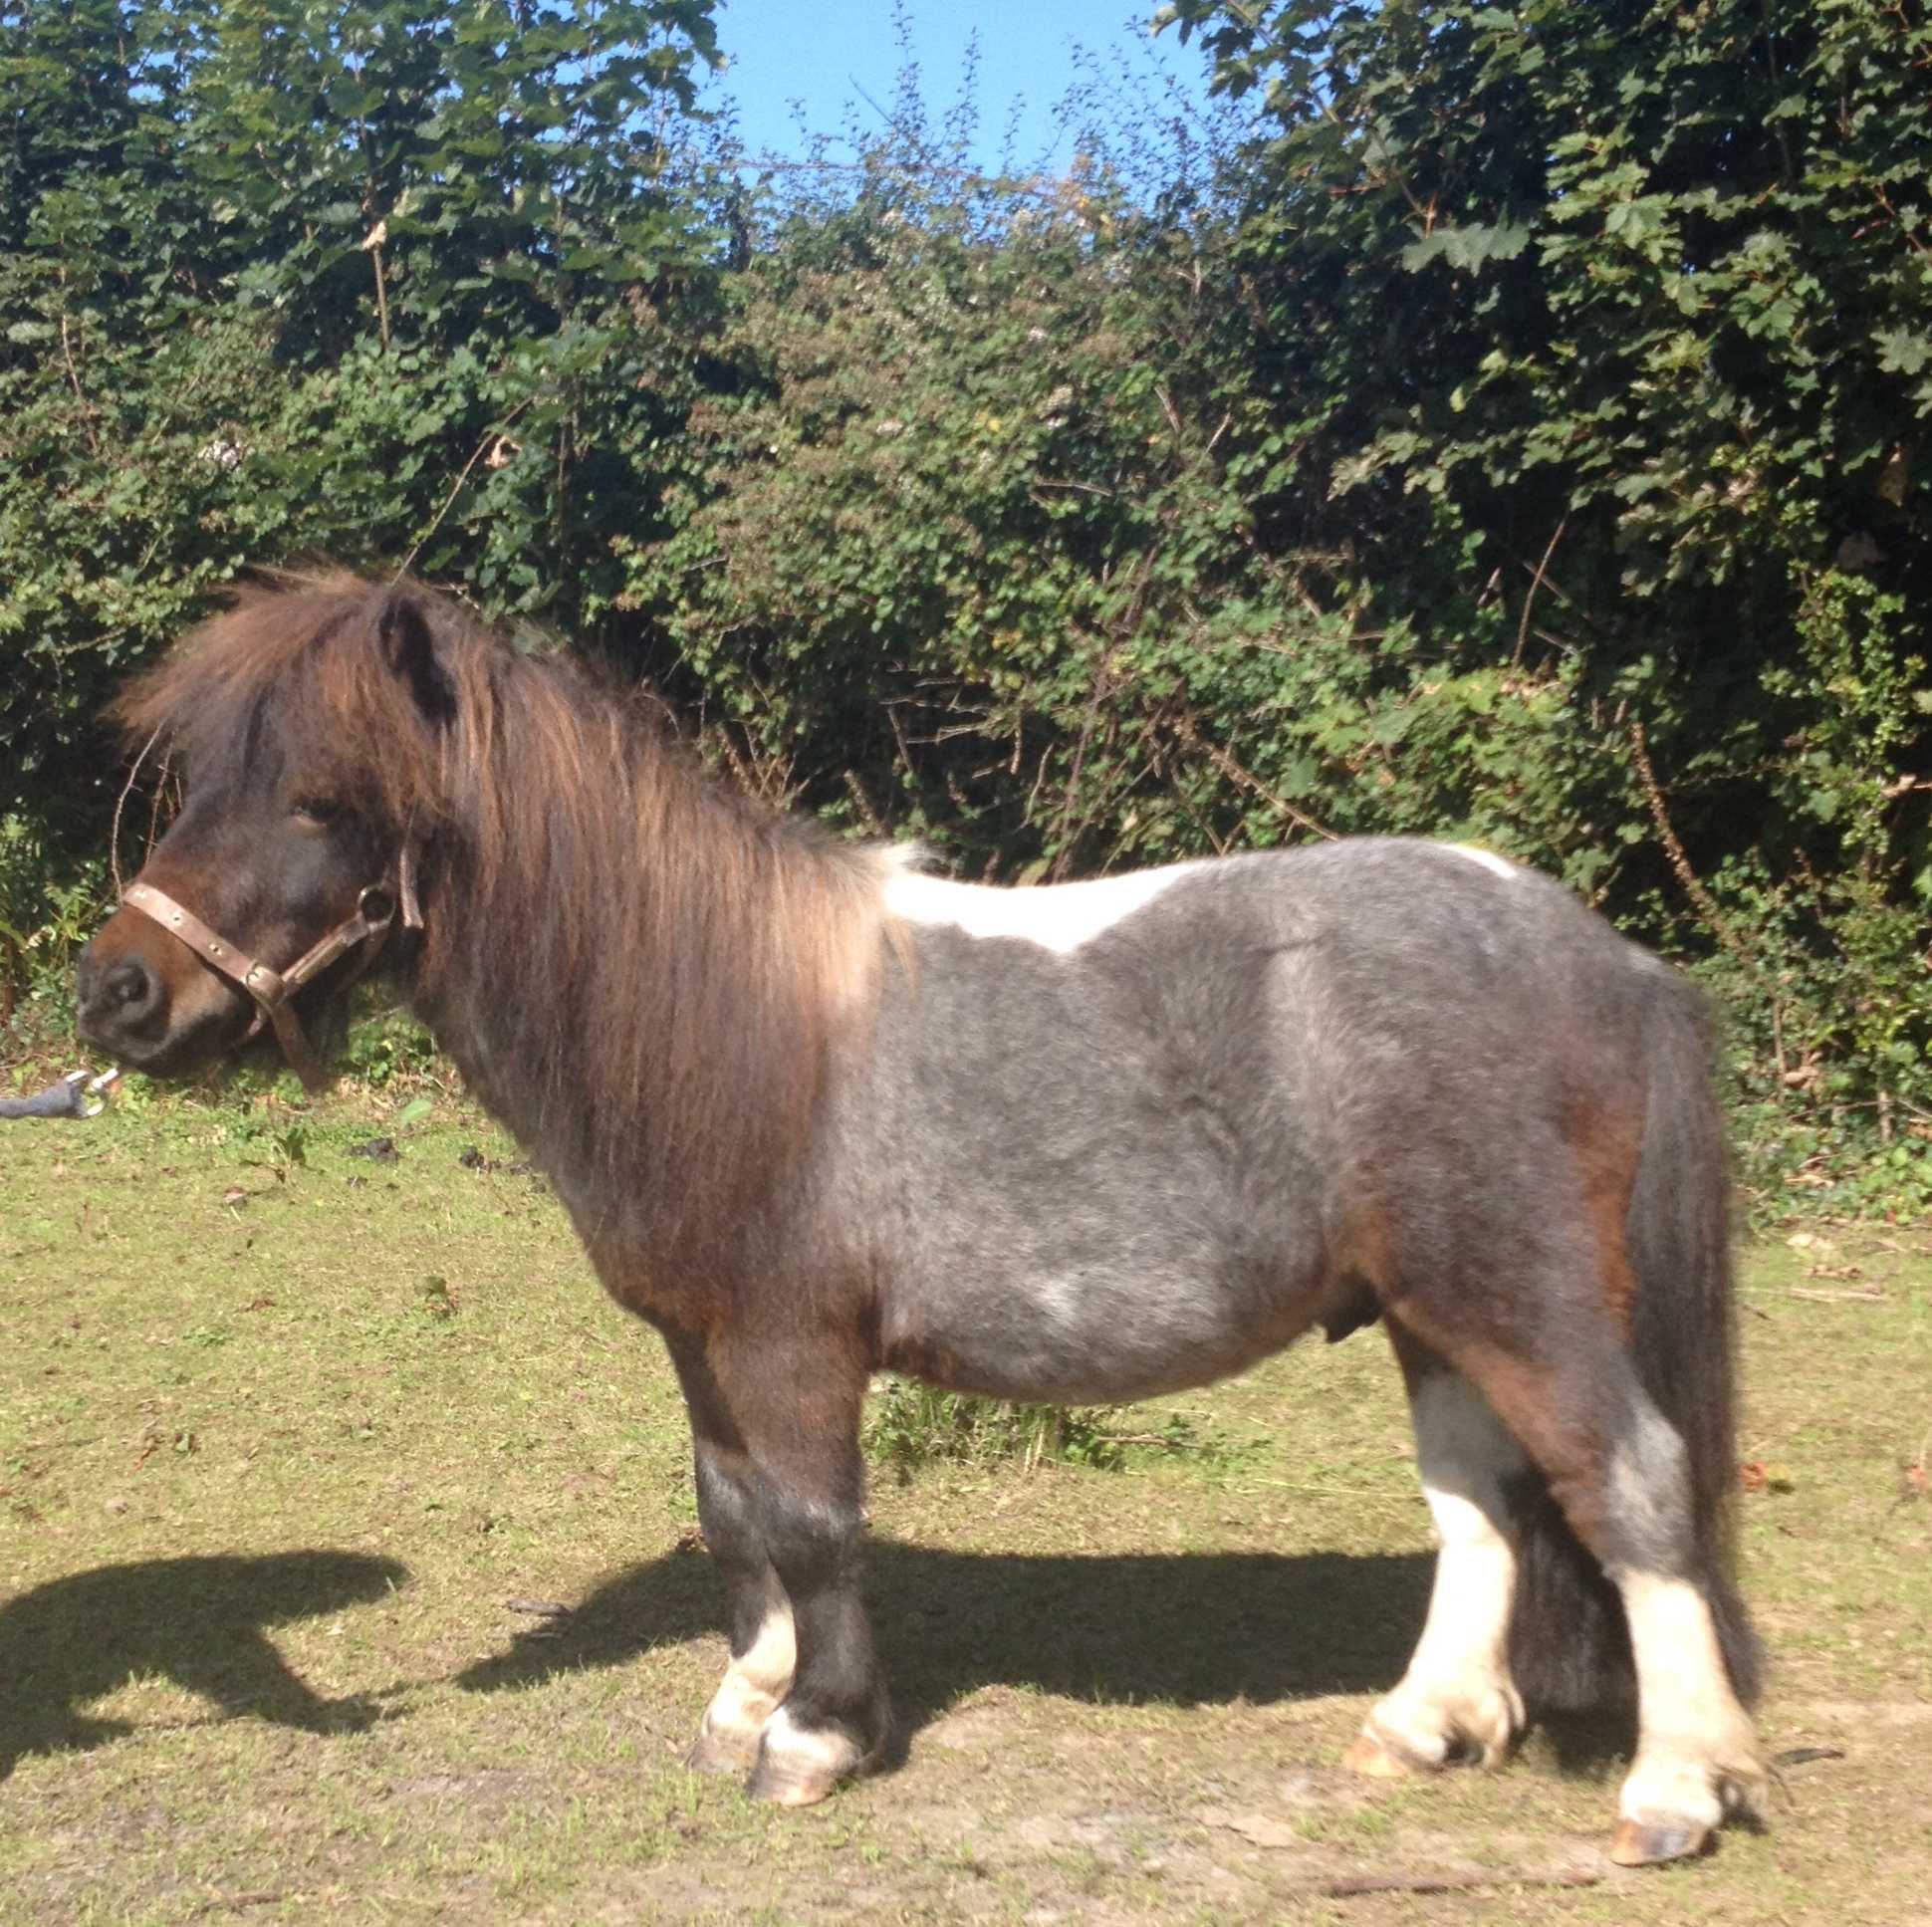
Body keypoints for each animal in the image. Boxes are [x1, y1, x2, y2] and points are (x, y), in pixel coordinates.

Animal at [75, 572, 1765, 1866]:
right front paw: (747, 1698)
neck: (719, 1016)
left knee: (1629, 1480)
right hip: (1428, 1305)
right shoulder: (703, 1342)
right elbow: (735, 1512)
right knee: (1480, 1503)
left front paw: (818, 1733)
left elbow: (817, 1523)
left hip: (1520, 1294)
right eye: (200, 784)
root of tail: (1610, 955)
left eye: (321, 800)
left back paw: (1676, 1783)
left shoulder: (791, 1340)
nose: (118, 995)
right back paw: (1423, 1723)